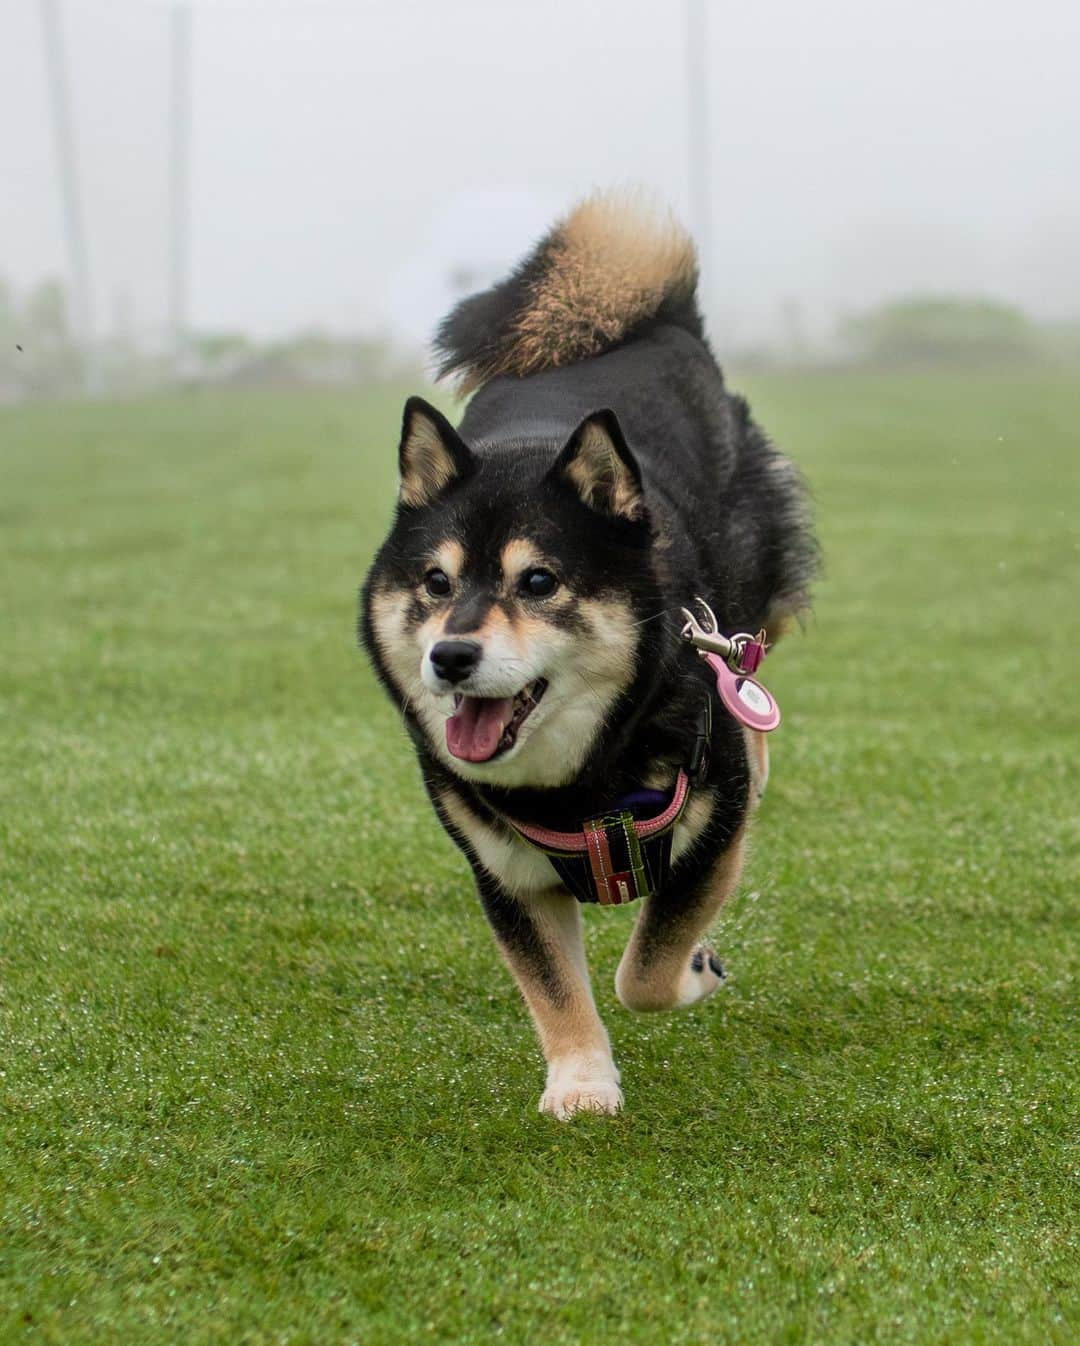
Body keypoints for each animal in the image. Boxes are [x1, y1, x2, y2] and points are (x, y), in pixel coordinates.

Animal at [358, 189, 813, 1114]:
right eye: (434, 582)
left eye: (538, 582)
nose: (449, 657)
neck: (580, 785)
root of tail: (661, 324)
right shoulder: (505, 874)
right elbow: (554, 988)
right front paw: (580, 1081)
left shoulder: (709, 839)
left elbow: (646, 971)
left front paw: (695, 971)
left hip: (746, 588)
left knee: (744, 665)